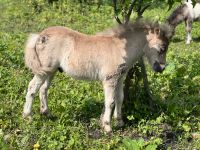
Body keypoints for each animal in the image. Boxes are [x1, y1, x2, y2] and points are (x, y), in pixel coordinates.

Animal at [21, 20, 173, 132]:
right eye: (162, 47)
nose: (161, 68)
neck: (121, 48)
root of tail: (39, 36)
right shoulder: (109, 79)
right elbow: (110, 101)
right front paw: (107, 127)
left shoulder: (120, 78)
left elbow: (120, 98)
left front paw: (120, 122)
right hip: (43, 71)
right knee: (32, 88)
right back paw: (27, 116)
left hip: (50, 71)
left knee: (43, 89)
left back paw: (47, 113)